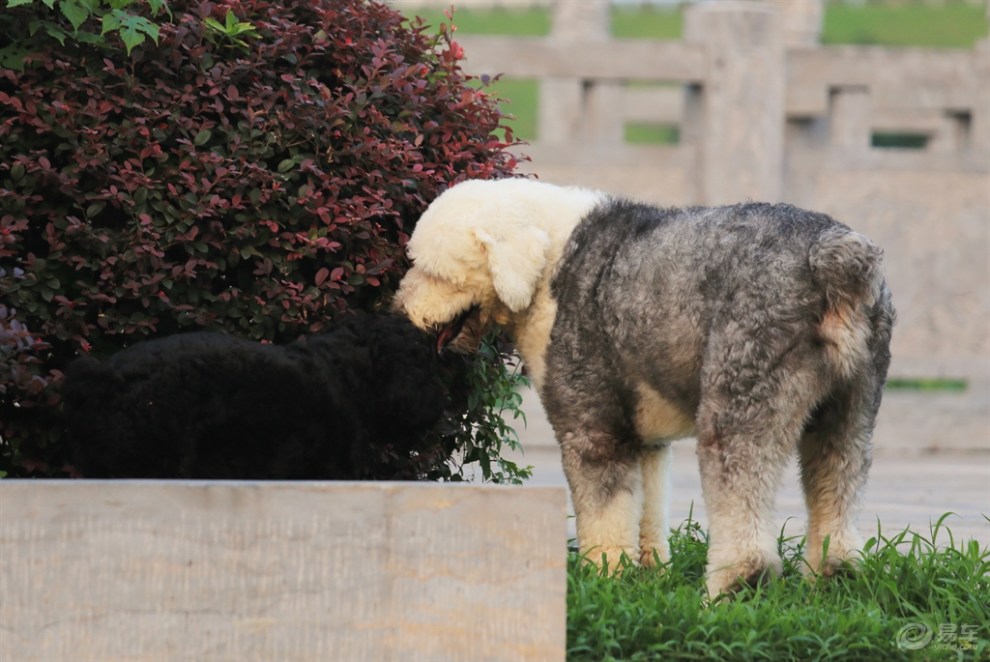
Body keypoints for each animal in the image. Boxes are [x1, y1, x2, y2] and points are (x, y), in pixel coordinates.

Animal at [398, 179, 900, 600]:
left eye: (437, 272)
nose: (401, 310)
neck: (549, 265)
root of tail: (832, 257)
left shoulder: (592, 427)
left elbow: (603, 517)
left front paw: (603, 582)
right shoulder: (647, 440)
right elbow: (649, 511)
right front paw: (649, 576)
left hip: (742, 396)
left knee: (745, 525)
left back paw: (729, 596)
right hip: (852, 406)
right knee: (837, 491)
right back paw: (833, 584)